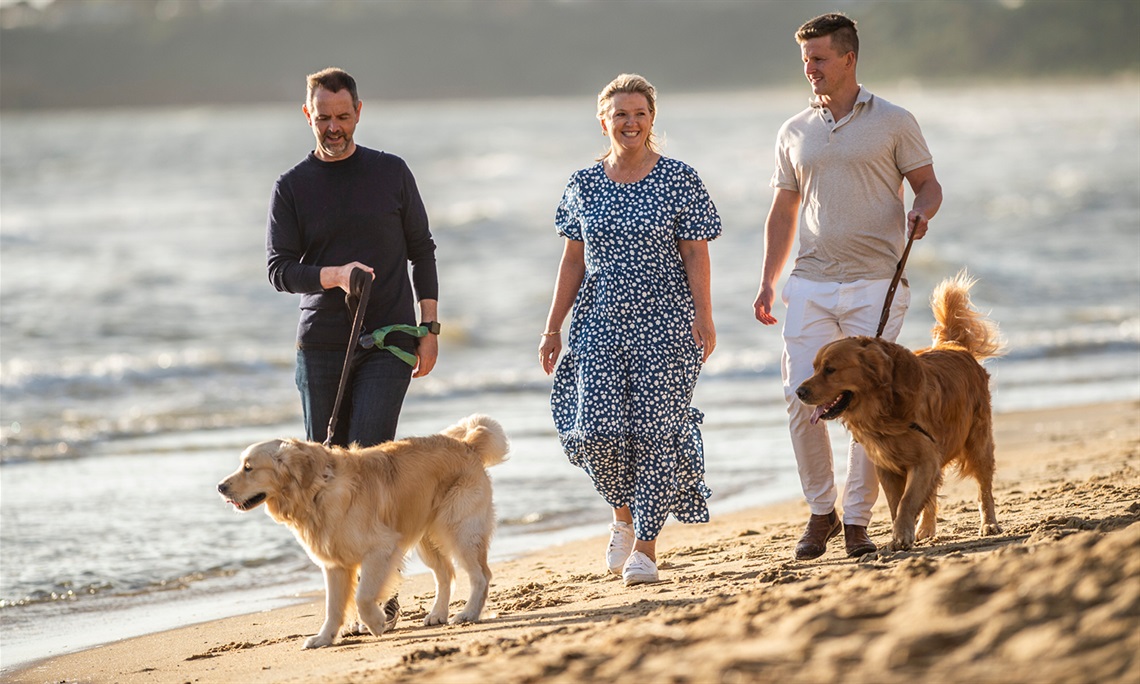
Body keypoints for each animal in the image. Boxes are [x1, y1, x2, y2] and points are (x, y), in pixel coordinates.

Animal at [216, 414, 508, 647]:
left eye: (249, 467)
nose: (220, 487)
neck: (316, 491)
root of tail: (467, 444)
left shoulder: (381, 549)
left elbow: (363, 596)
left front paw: (376, 623)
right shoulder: (334, 564)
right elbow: (333, 607)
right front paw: (323, 639)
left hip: (458, 529)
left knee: (481, 575)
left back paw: (468, 614)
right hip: (427, 538)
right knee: (446, 574)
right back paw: (438, 614)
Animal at [798, 271, 1003, 549]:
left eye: (830, 370)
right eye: (815, 367)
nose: (799, 391)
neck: (882, 406)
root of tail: (954, 346)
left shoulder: (925, 457)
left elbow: (907, 500)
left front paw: (901, 536)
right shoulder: (887, 465)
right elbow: (897, 504)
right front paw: (901, 533)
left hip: (978, 441)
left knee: (984, 488)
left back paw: (989, 524)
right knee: (933, 494)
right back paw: (926, 528)